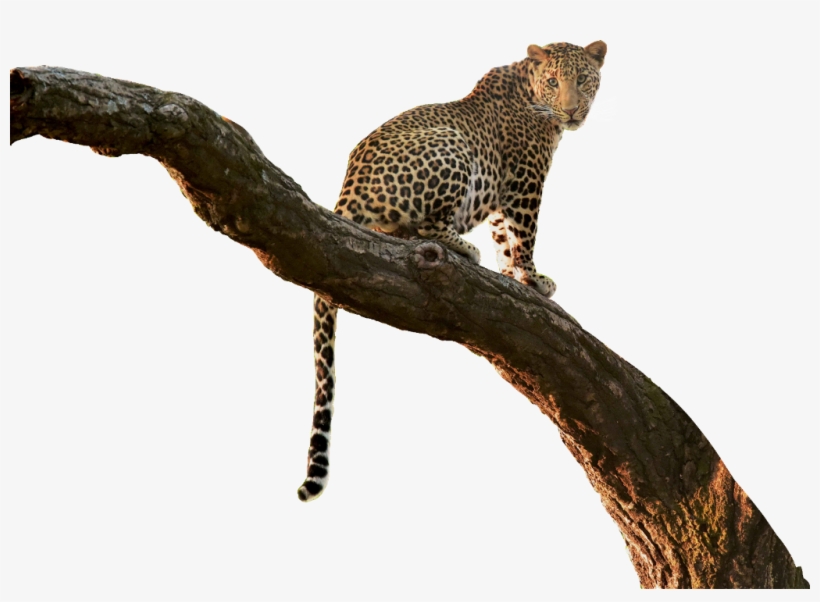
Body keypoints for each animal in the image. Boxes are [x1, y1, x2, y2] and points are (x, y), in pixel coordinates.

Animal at [297, 41, 607, 501]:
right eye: (554, 81)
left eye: (583, 80)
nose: (571, 111)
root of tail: (348, 188)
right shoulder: (525, 182)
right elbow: (525, 235)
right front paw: (532, 279)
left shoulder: (501, 197)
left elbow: (504, 240)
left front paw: (513, 277)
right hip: (452, 143)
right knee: (426, 227)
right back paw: (463, 247)